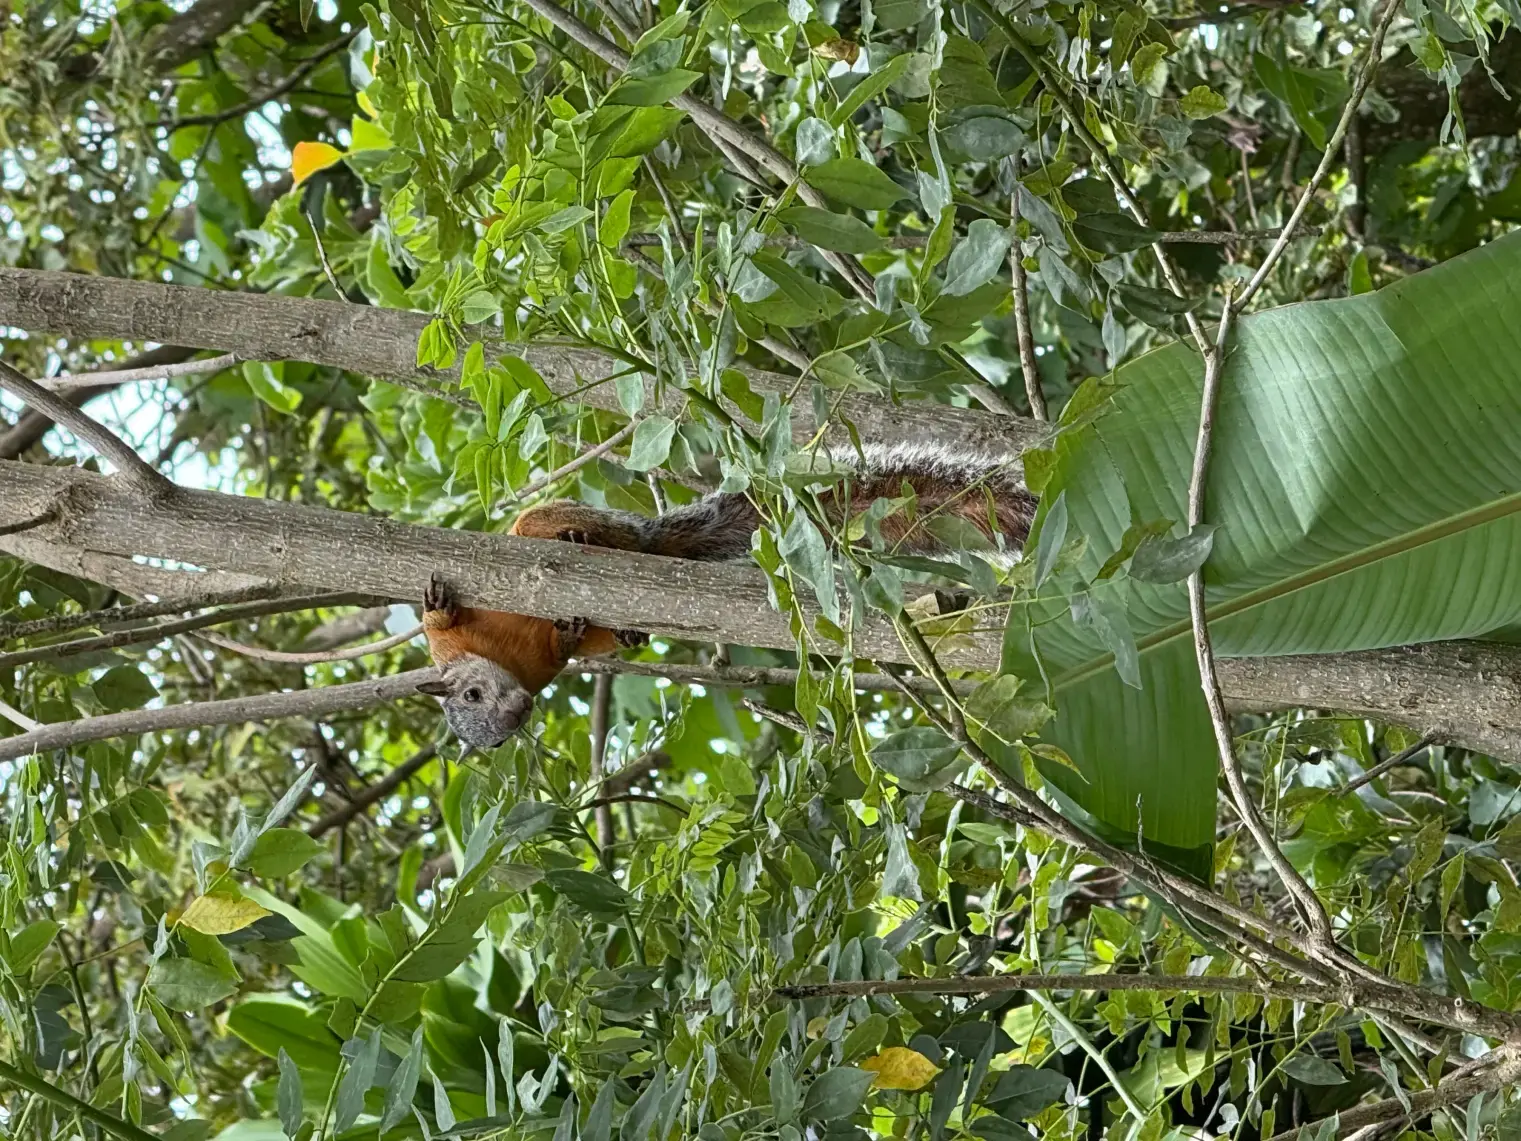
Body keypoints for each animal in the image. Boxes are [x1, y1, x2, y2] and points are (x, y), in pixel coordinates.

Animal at [416, 442, 1037, 750]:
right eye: (495, 733)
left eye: (472, 694)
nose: (517, 711)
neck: (504, 658)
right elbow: (572, 646)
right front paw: (573, 632)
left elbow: (444, 623)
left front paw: (438, 605)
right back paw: (624, 628)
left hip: (558, 522)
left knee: (570, 530)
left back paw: (578, 539)